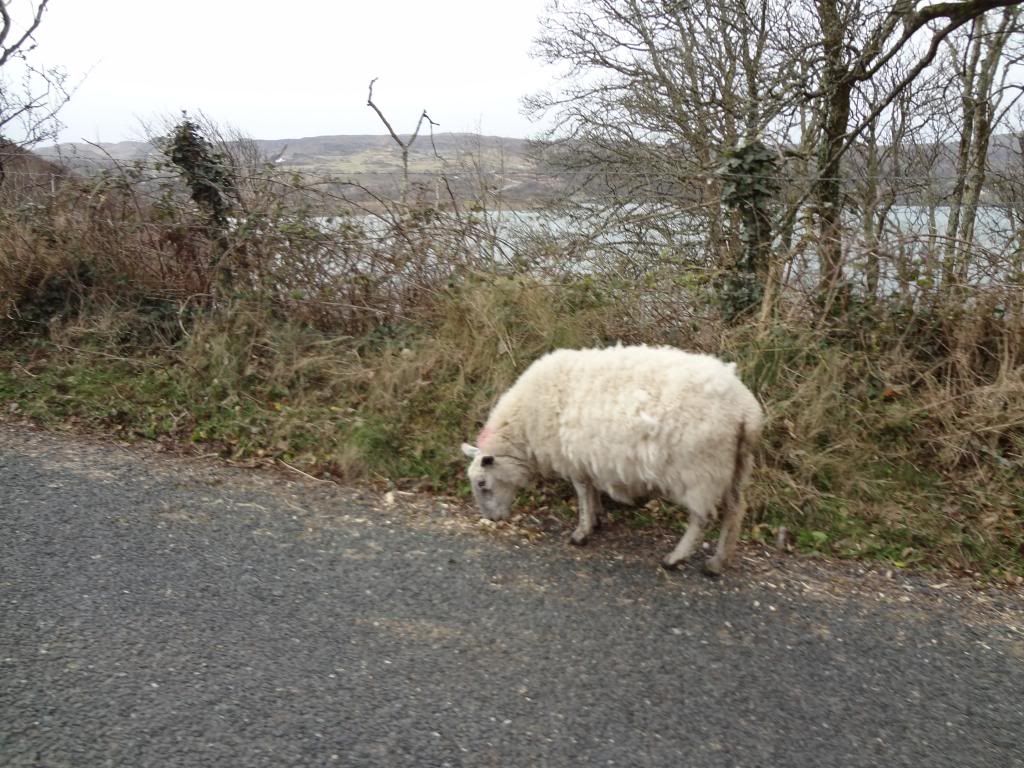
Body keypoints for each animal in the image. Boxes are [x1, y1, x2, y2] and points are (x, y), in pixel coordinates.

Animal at [461, 344, 764, 575]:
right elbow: (592, 492)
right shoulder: (586, 458)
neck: (524, 426)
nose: (493, 519)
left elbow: (582, 494)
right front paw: (598, 519)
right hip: (736, 466)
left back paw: (675, 558)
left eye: (483, 484)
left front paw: (581, 533)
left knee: (703, 518)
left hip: (701, 470)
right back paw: (718, 562)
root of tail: (746, 411)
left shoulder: (573, 460)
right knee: (735, 510)